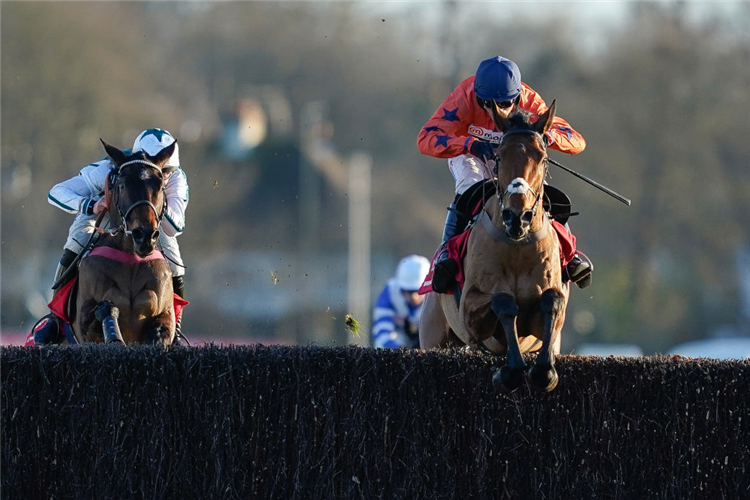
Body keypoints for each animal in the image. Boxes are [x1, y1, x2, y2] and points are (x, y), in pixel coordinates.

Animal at [424, 100, 568, 390]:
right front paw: (509, 372)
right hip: (433, 335)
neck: (517, 246)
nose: (517, 216)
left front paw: (543, 371)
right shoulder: (470, 310)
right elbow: (504, 301)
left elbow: (553, 301)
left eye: (543, 157)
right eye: (499, 156)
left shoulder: (547, 313)